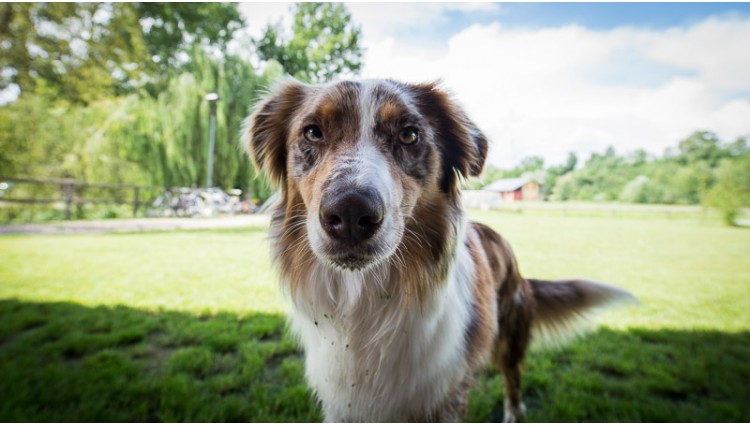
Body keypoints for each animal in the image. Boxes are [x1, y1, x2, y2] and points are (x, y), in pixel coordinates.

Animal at [244, 78, 636, 420]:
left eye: (409, 134)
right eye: (313, 132)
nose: (352, 212)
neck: (368, 298)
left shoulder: (445, 393)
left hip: (509, 336)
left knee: (513, 378)